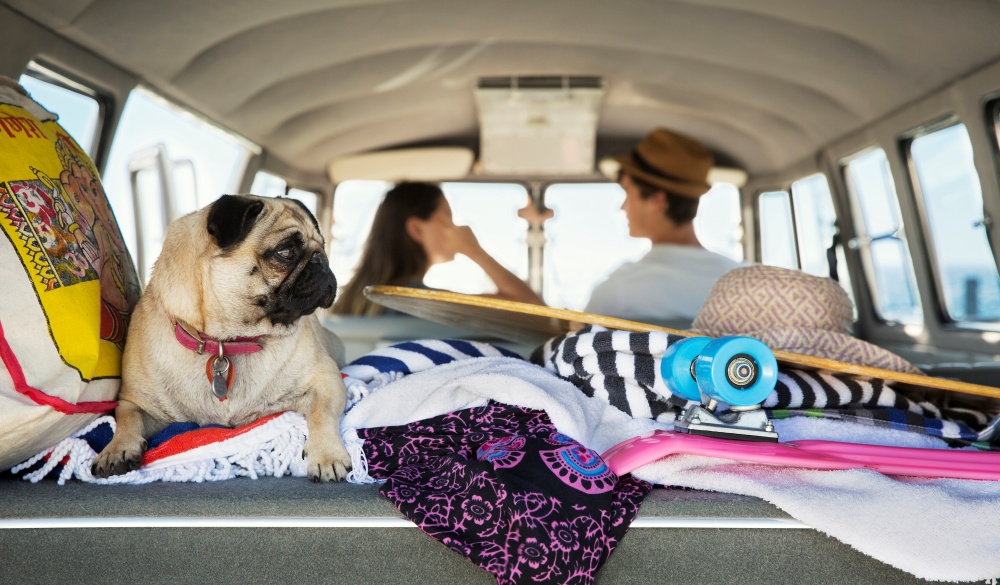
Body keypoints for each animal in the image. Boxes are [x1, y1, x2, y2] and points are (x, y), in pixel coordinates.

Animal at [94, 194, 352, 482]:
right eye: (285, 252)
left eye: (323, 247)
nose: (321, 261)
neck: (229, 342)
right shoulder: (137, 402)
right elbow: (126, 418)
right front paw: (116, 449)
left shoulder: (326, 380)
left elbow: (322, 413)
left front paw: (327, 455)